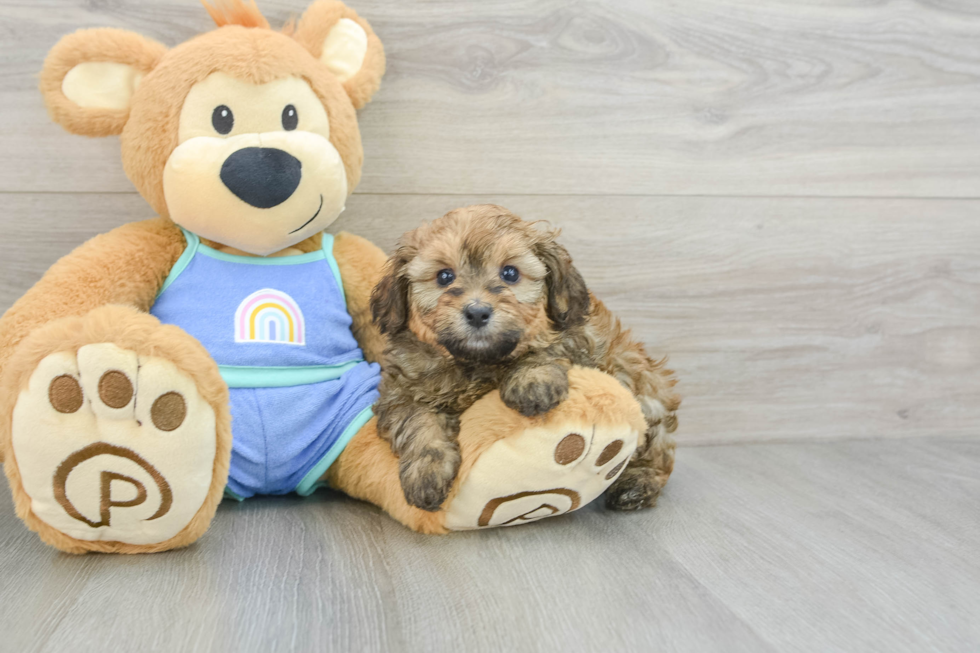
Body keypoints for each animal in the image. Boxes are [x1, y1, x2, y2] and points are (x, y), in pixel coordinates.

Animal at [370, 206, 680, 512]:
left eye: (510, 273)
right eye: (444, 276)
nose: (477, 312)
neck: (478, 361)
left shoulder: (577, 337)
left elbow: (546, 348)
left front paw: (532, 381)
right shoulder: (401, 391)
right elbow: (417, 421)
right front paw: (426, 472)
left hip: (644, 392)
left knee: (658, 453)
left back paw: (637, 483)